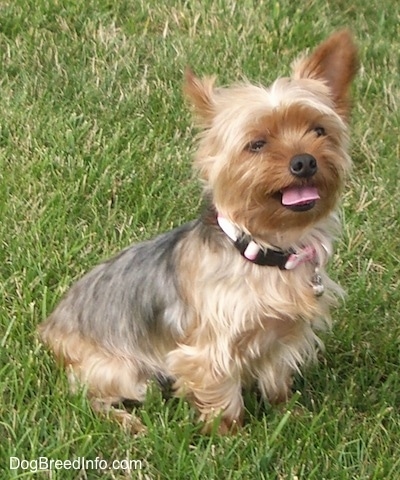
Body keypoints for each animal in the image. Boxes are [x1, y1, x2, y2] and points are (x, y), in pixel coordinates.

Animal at [39, 31, 360, 436]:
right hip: (121, 370)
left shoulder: (283, 335)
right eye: (257, 144)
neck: (267, 250)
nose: (304, 161)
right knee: (90, 398)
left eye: (318, 130)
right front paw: (231, 436)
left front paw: (290, 413)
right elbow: (221, 393)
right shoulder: (209, 348)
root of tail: (51, 328)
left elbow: (276, 379)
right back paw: (128, 422)